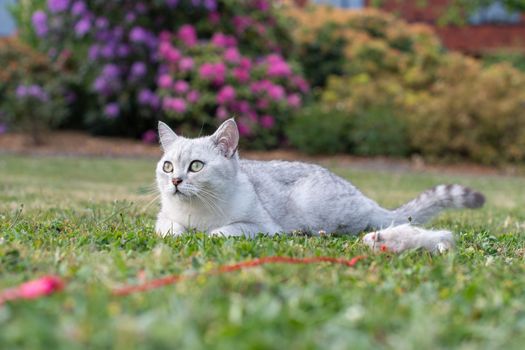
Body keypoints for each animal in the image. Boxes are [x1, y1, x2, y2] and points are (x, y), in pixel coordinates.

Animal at [155, 119, 484, 253]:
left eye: (196, 166)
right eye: (168, 166)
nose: (175, 180)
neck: (198, 211)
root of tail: (363, 197)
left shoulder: (261, 226)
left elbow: (224, 231)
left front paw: (208, 233)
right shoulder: (164, 218)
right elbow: (169, 228)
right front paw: (181, 233)